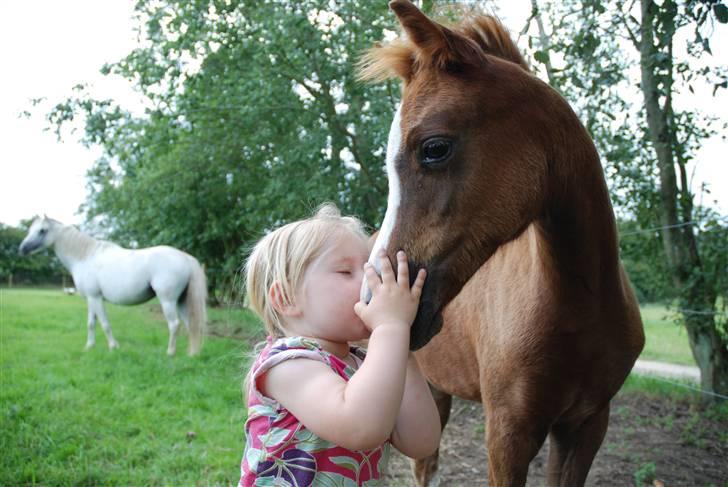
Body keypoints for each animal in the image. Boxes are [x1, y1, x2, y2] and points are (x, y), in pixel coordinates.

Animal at [19, 216, 207, 356]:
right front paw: (89, 347)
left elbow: (104, 323)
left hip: (168, 301)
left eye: (42, 230)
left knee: (174, 325)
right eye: (30, 230)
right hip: (181, 301)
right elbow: (91, 323)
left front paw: (113, 347)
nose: (22, 249)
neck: (85, 256)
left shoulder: (96, 298)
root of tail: (186, 258)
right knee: (191, 325)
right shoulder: (90, 299)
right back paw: (192, 354)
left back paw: (170, 353)